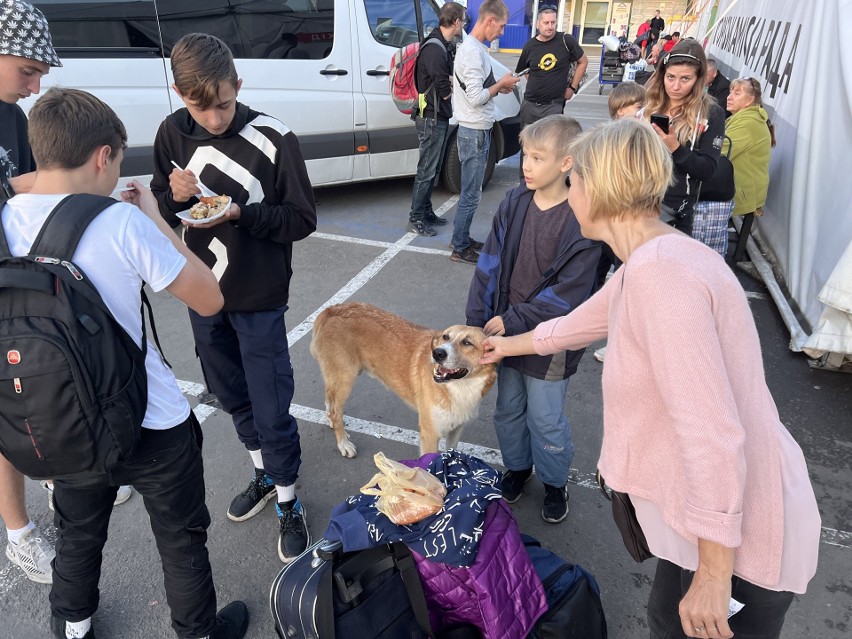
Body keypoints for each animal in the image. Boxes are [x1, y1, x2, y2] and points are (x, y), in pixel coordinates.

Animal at [310, 302, 496, 458]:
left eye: (467, 343)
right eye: (445, 337)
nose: (437, 353)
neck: (460, 388)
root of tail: (332, 310)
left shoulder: (456, 430)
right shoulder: (430, 434)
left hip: (337, 378)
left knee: (330, 399)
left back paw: (332, 422)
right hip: (345, 379)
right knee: (336, 410)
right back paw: (343, 443)